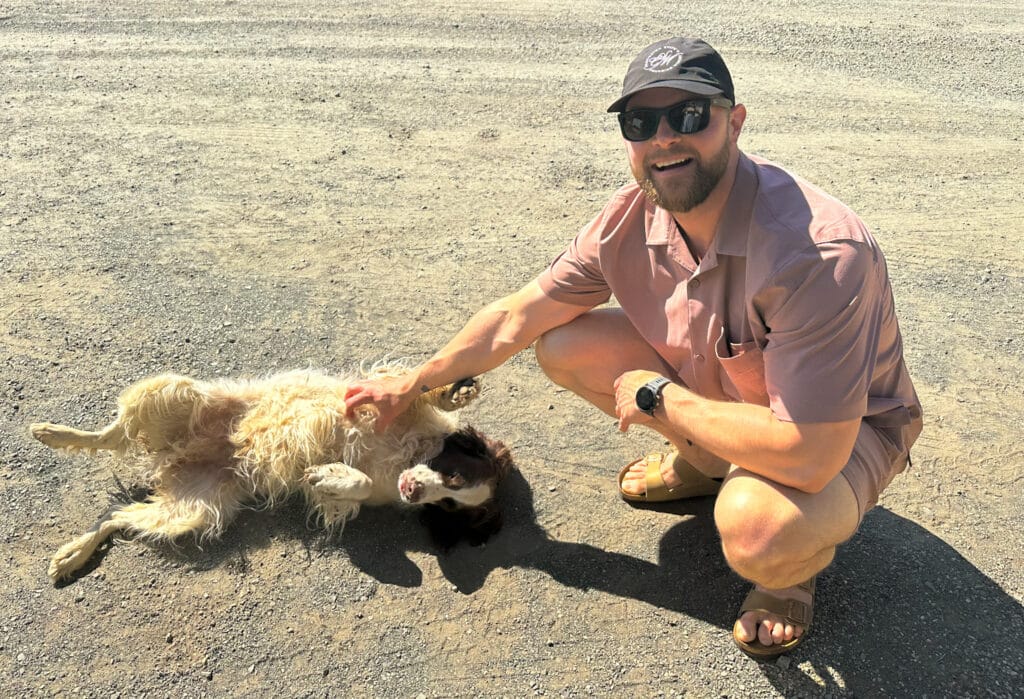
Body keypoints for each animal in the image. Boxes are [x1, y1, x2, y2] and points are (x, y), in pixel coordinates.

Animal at [30, 364, 512, 581]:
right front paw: (457, 391)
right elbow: (419, 386)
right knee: (110, 435)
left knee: (115, 517)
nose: (411, 490)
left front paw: (328, 475)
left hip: (194, 509)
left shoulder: (366, 490)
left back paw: (71, 555)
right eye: (453, 476)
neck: (411, 451)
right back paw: (53, 433)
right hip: (175, 391)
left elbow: (353, 486)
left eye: (448, 504)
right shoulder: (381, 395)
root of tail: (174, 457)